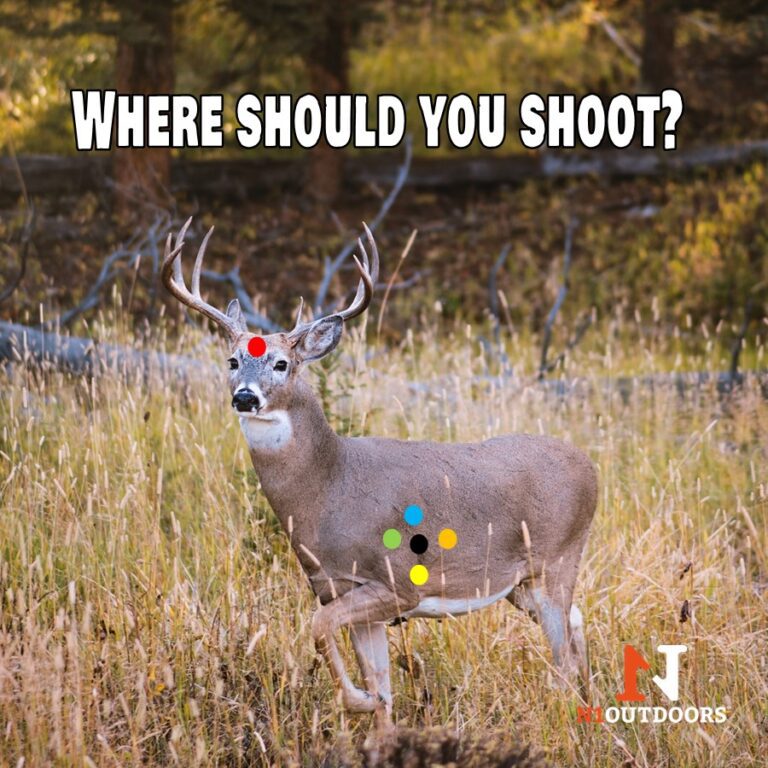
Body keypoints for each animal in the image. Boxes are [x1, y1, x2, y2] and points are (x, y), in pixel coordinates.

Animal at [162, 218, 598, 727]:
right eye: (232, 361)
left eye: (281, 363)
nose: (245, 396)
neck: (328, 487)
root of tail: (591, 467)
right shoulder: (337, 589)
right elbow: (380, 682)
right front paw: (377, 717)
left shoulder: (396, 582)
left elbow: (320, 630)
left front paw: (358, 700)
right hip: (520, 583)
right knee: (577, 626)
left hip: (558, 558)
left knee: (563, 654)